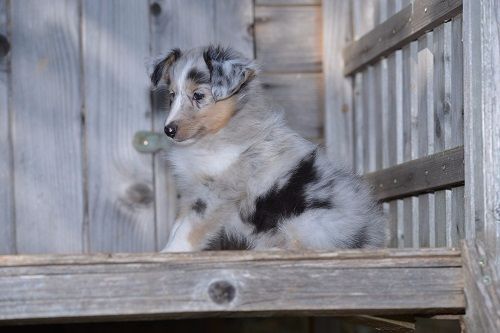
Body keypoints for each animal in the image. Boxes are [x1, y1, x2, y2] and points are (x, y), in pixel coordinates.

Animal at [147, 45, 386, 250]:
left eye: (198, 95)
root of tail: (369, 233)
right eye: (171, 96)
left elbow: (188, 229)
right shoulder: (192, 192)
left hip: (309, 222)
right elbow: (178, 225)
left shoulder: (217, 192)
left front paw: (170, 252)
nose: (169, 130)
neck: (218, 133)